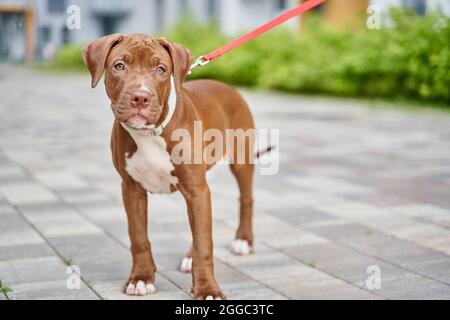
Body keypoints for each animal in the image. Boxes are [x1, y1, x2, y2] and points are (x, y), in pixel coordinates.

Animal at [82, 35, 255, 300]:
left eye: (161, 69)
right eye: (119, 66)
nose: (140, 97)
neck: (150, 132)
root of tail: (227, 87)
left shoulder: (195, 189)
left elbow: (204, 243)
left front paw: (207, 289)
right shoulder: (131, 189)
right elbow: (139, 238)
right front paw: (141, 278)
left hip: (240, 161)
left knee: (245, 199)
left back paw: (243, 241)